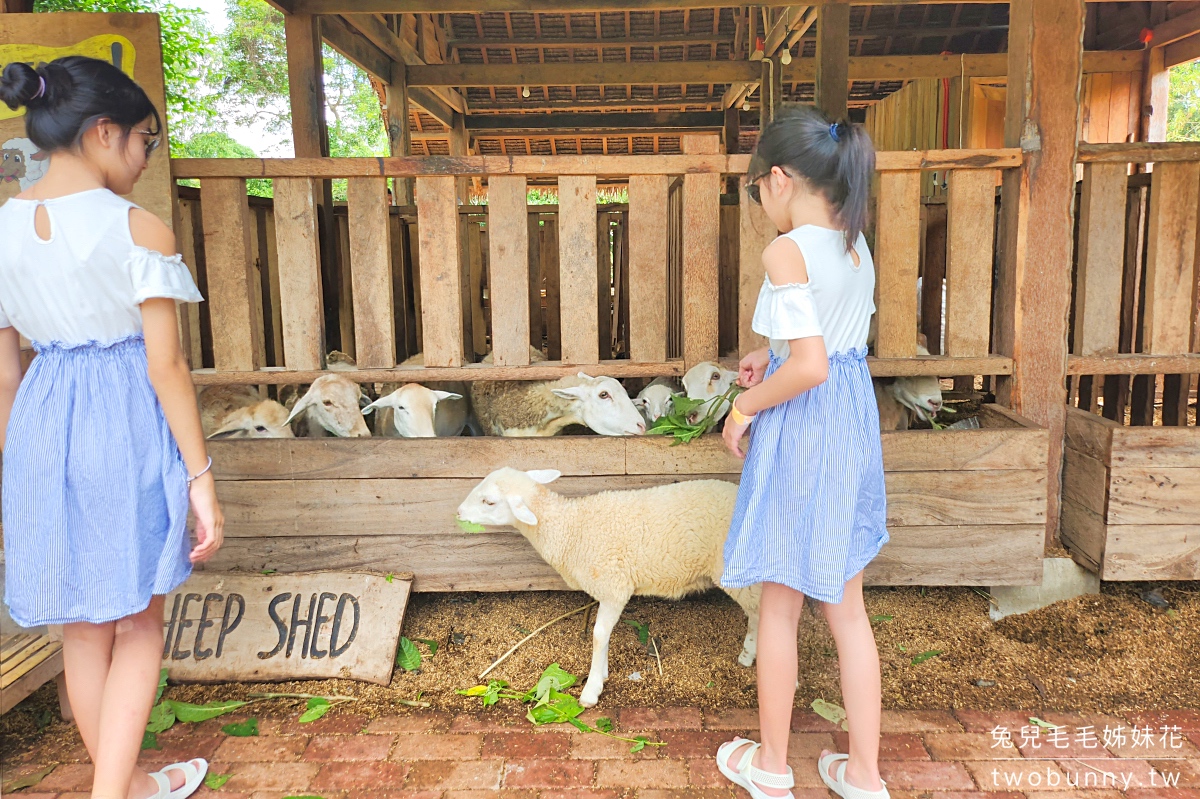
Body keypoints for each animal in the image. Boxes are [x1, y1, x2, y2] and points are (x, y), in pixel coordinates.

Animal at [458, 467, 758, 705]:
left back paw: (748, 655)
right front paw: (600, 674)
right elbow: (603, 635)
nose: (459, 511)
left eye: (489, 501)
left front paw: (592, 689)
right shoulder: (607, 590)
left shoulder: (614, 586)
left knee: (757, 612)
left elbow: (599, 635)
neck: (569, 528)